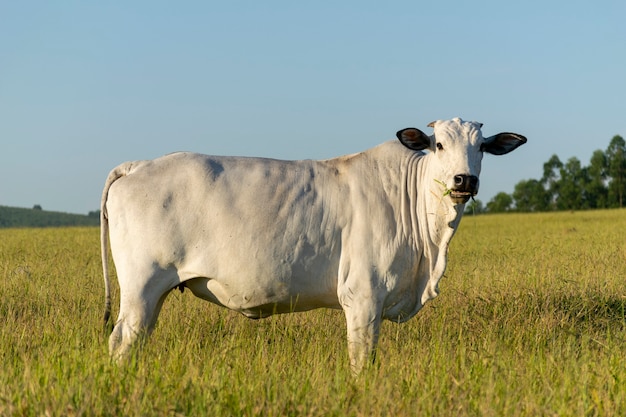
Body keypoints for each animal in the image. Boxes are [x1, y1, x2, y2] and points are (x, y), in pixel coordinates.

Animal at [101, 116, 520, 370]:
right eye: (439, 145)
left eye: (481, 147)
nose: (464, 180)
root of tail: (139, 165)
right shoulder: (363, 297)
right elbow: (361, 361)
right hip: (140, 287)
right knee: (122, 340)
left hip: (155, 294)